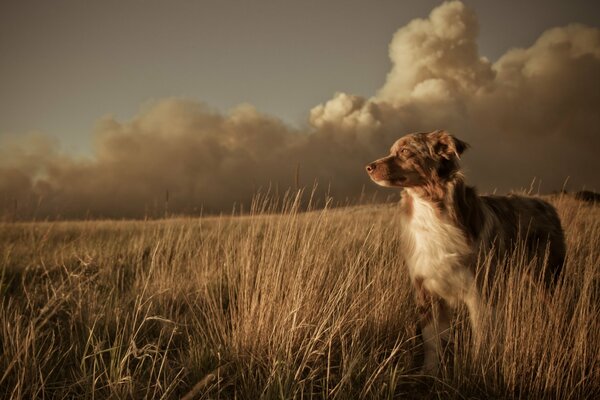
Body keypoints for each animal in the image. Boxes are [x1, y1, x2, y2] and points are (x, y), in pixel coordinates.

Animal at [364, 130, 564, 376]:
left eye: (405, 151)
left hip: (547, 278)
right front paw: (429, 373)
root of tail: (546, 205)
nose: (368, 167)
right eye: (392, 151)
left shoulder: (480, 291)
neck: (430, 209)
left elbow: (482, 338)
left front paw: (477, 369)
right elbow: (432, 341)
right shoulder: (426, 291)